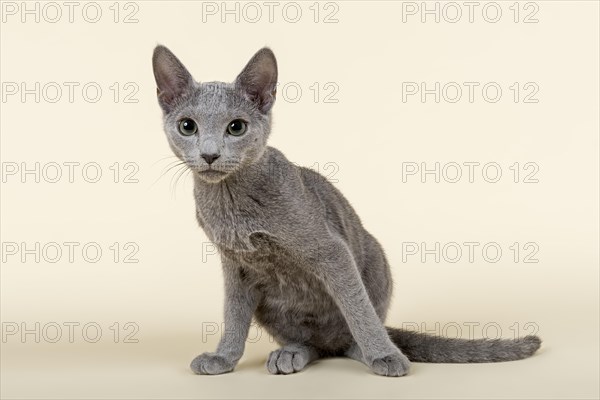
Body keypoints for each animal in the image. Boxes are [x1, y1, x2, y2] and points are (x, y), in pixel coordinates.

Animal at [152, 45, 540, 376]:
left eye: (236, 127)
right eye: (188, 126)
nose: (210, 154)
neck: (230, 199)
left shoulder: (331, 249)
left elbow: (357, 307)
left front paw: (384, 355)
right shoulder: (236, 266)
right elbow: (233, 316)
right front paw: (223, 357)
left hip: (376, 256)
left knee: (350, 334)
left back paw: (368, 350)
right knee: (317, 346)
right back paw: (292, 352)